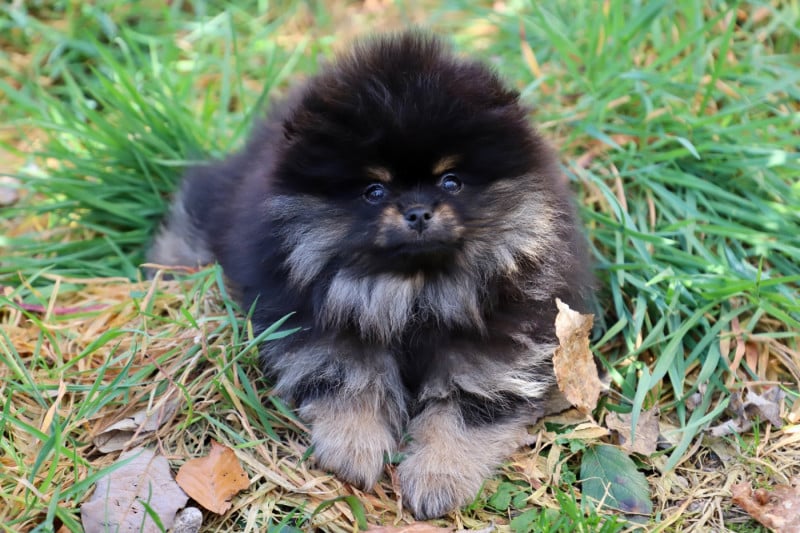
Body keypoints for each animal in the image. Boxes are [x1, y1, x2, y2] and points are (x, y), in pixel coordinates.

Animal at [149, 30, 594, 519]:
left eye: (451, 181)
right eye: (374, 190)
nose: (417, 211)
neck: (413, 291)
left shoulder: (498, 339)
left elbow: (466, 402)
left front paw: (439, 476)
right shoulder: (319, 321)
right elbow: (353, 377)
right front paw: (354, 448)